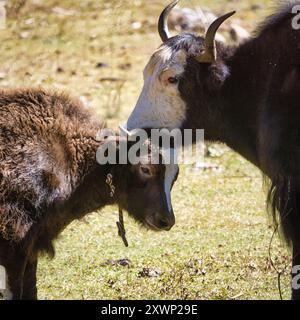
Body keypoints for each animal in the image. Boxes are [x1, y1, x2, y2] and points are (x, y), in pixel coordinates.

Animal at [0, 88, 176, 300]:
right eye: (145, 169)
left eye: (175, 176)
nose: (166, 220)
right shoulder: (14, 244)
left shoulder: (33, 244)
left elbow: (30, 288)